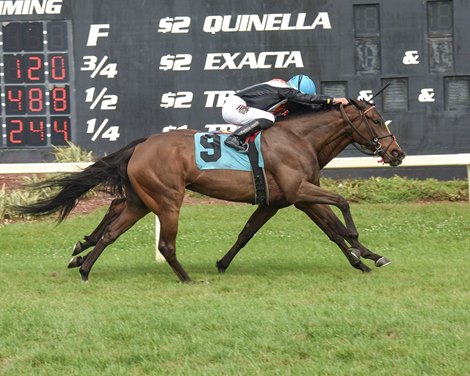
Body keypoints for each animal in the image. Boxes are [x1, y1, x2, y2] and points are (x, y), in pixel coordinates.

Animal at [14, 100, 404, 282]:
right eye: (376, 119)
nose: (397, 153)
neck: (298, 138)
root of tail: (142, 144)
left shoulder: (285, 200)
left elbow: (253, 232)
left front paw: (366, 258)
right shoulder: (299, 191)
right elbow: (341, 208)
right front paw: (361, 251)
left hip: (142, 200)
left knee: (112, 229)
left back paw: (83, 266)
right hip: (167, 199)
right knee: (163, 243)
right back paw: (185, 278)